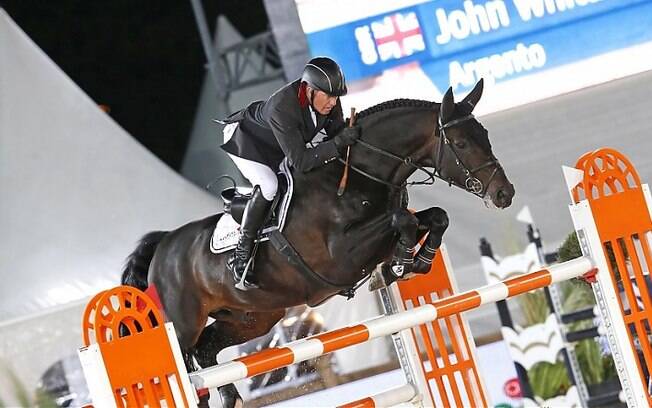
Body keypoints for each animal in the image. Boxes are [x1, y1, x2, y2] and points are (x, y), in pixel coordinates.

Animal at [118, 79, 516, 404]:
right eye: (461, 142)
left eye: (485, 136)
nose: (504, 194)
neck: (360, 174)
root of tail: (163, 245)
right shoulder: (340, 257)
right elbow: (402, 219)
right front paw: (401, 264)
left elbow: (434, 217)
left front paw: (411, 263)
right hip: (183, 325)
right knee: (188, 363)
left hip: (252, 318)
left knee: (205, 351)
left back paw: (231, 398)